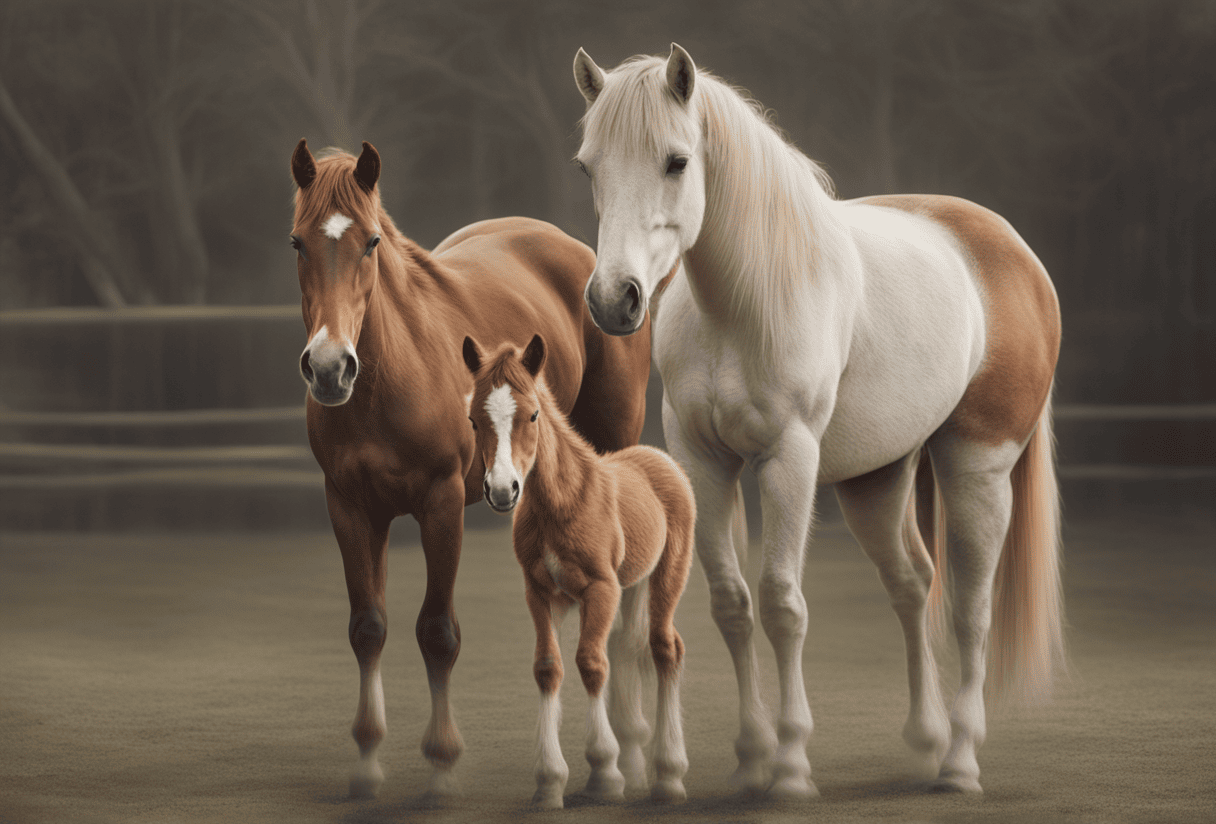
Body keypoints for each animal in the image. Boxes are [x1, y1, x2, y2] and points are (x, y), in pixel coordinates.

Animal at [288, 139, 652, 797]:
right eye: (297, 242)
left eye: (371, 241)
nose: (330, 368)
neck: (390, 379)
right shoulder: (350, 507)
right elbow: (367, 627)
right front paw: (367, 763)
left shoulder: (441, 503)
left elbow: (437, 632)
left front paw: (440, 765)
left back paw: (625, 749)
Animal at [462, 334, 695, 808]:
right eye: (475, 419)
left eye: (533, 413)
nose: (502, 490)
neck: (562, 503)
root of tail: (659, 458)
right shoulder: (539, 592)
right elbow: (548, 667)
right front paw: (550, 781)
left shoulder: (600, 590)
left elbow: (590, 662)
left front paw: (604, 772)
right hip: (633, 585)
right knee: (629, 644)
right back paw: (639, 769)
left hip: (667, 576)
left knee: (665, 648)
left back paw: (668, 776)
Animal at [570, 45, 1065, 796]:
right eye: (588, 166)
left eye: (677, 161)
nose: (613, 300)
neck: (742, 305)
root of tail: (1014, 251)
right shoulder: (704, 464)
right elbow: (733, 604)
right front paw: (751, 757)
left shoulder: (788, 460)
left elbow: (782, 604)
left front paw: (791, 764)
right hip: (876, 480)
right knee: (912, 583)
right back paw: (926, 739)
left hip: (977, 467)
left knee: (971, 611)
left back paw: (958, 761)